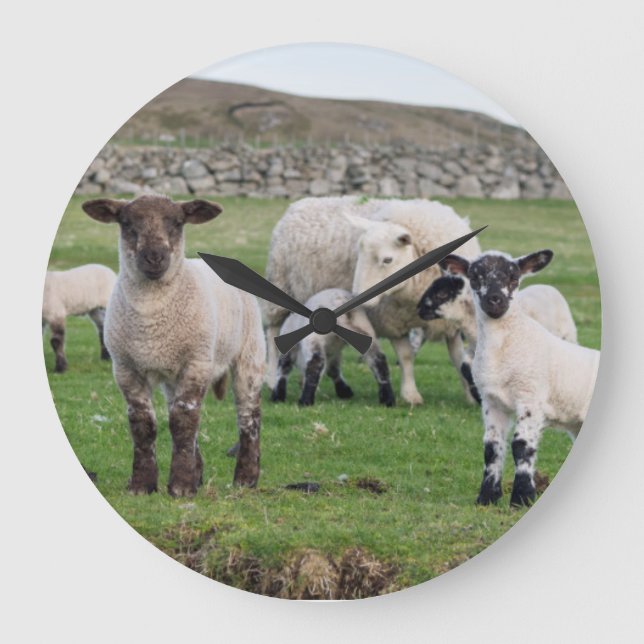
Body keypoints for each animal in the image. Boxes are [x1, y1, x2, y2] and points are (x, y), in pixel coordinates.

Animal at [82, 195, 266, 497]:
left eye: (178, 222)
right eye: (126, 223)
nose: (154, 257)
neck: (151, 319)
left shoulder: (196, 361)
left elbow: (183, 420)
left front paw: (180, 486)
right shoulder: (125, 367)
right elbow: (143, 424)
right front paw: (143, 484)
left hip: (249, 353)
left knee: (248, 415)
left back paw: (245, 479)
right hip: (172, 375)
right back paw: (199, 474)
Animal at [264, 196, 481, 405]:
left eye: (387, 259)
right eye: (358, 255)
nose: (357, 297)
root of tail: (300, 203)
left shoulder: (452, 324)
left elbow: (457, 359)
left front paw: (470, 395)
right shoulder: (393, 323)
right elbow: (406, 357)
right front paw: (411, 395)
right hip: (280, 286)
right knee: (273, 335)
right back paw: (272, 380)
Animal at [440, 249, 600, 507]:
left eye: (514, 277)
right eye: (474, 277)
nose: (495, 300)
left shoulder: (530, 396)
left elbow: (521, 446)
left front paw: (522, 497)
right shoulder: (491, 401)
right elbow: (492, 447)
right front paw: (487, 497)